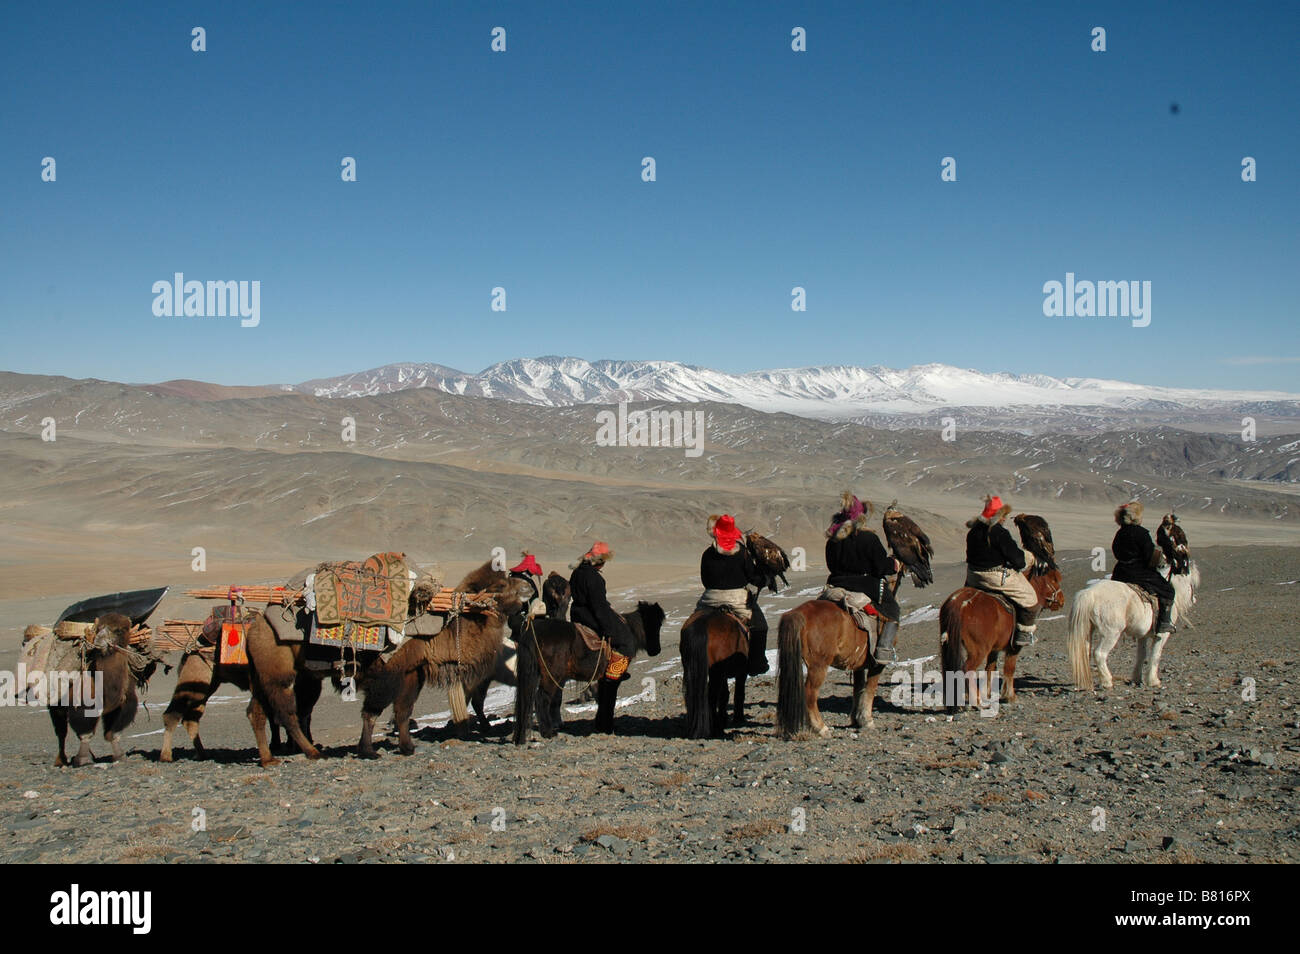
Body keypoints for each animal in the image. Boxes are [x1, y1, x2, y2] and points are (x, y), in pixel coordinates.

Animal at [509, 605, 665, 748]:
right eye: (655, 624)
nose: (656, 650)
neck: (631, 630)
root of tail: (533, 632)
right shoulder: (613, 679)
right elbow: (609, 699)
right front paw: (607, 727)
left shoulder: (602, 679)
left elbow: (602, 698)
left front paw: (601, 725)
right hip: (552, 675)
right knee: (542, 699)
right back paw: (548, 732)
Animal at [681, 608, 754, 743]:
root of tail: (703, 623)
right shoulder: (741, 673)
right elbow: (738, 694)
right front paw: (738, 718)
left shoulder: (723, 674)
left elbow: (724, 695)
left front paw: (724, 718)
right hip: (717, 672)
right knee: (711, 696)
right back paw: (714, 728)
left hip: (692, 669)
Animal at [774, 600, 889, 743]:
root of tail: (798, 613)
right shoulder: (877, 665)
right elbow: (870, 689)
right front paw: (867, 720)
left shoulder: (858, 665)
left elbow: (858, 689)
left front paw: (856, 719)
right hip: (819, 666)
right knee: (809, 693)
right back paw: (821, 728)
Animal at [946, 566, 1066, 712]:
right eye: (1054, 579)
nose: (1062, 600)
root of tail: (959, 602)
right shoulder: (1014, 648)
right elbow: (1009, 669)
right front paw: (1010, 696)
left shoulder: (994, 650)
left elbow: (990, 668)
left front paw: (988, 693)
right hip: (978, 650)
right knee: (967, 669)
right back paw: (977, 702)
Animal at [1066, 564, 1196, 691]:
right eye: (1191, 583)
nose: (1194, 599)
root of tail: (1089, 594)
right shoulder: (1161, 636)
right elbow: (1155, 655)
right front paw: (1154, 681)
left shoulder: (1142, 636)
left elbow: (1141, 655)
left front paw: (1137, 679)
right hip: (1111, 634)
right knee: (1099, 654)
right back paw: (1107, 682)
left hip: (1088, 631)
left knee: (1085, 653)